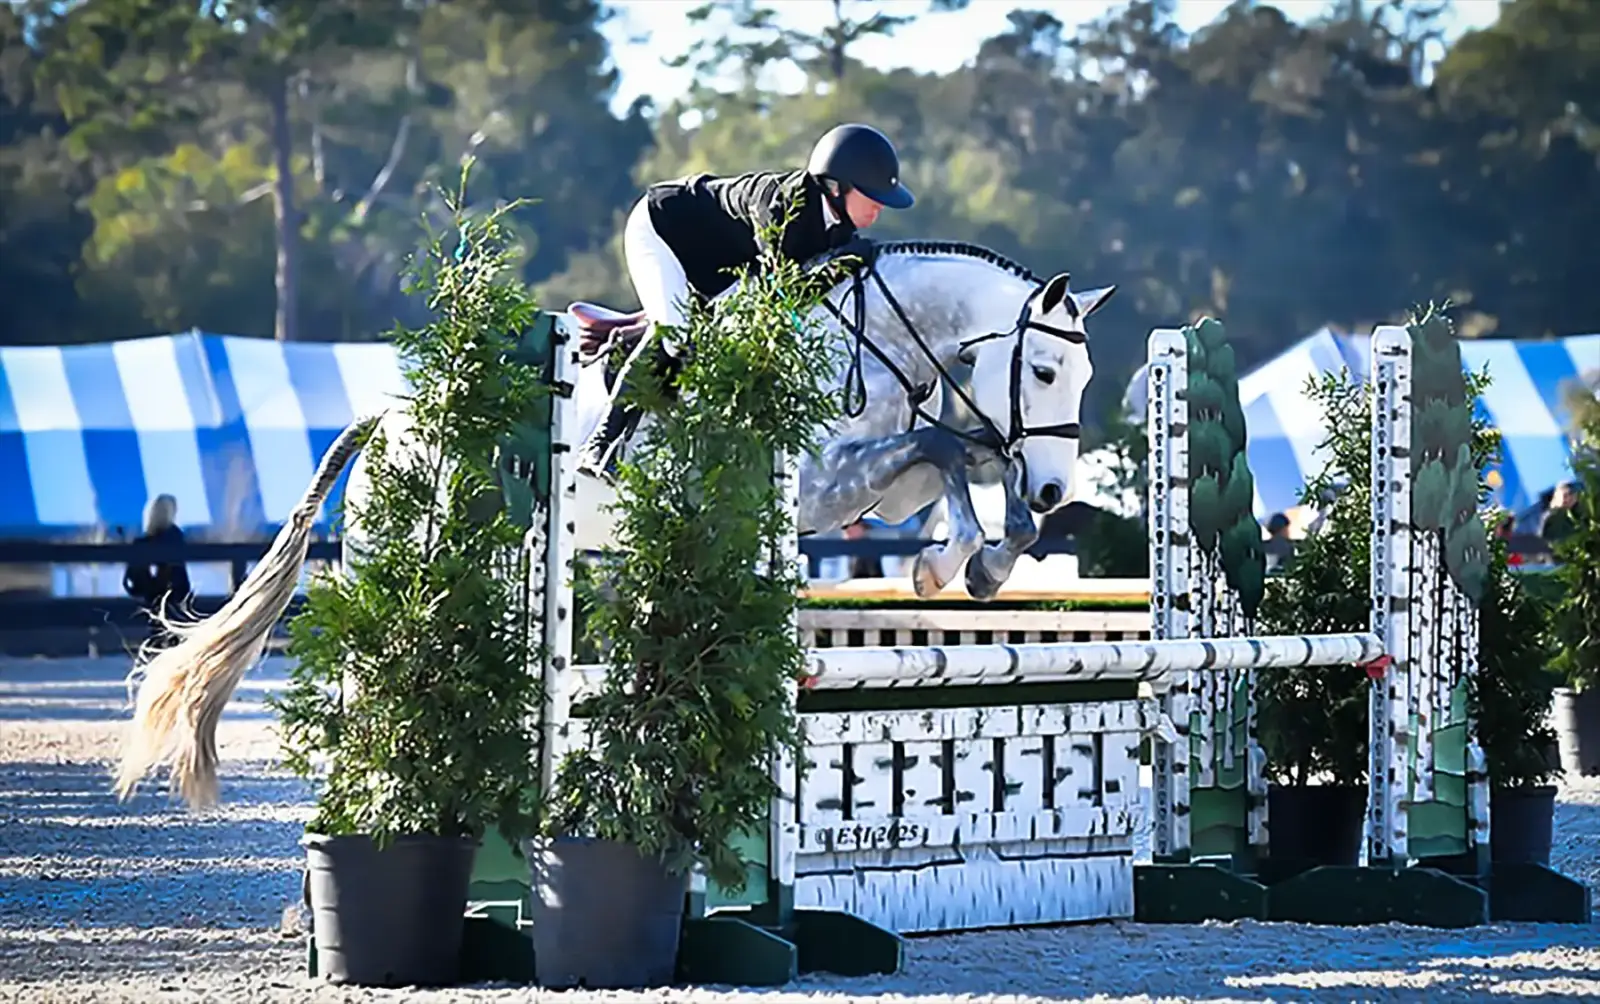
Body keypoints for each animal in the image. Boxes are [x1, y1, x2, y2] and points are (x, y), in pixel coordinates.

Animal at [111, 238, 1114, 809]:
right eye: (1047, 374)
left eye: (1086, 380)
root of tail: (394, 414)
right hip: (412, 548)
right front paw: (961, 566)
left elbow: (957, 461)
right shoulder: (823, 481)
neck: (878, 335)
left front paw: (978, 559)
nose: (1057, 491)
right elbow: (941, 450)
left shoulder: (886, 484)